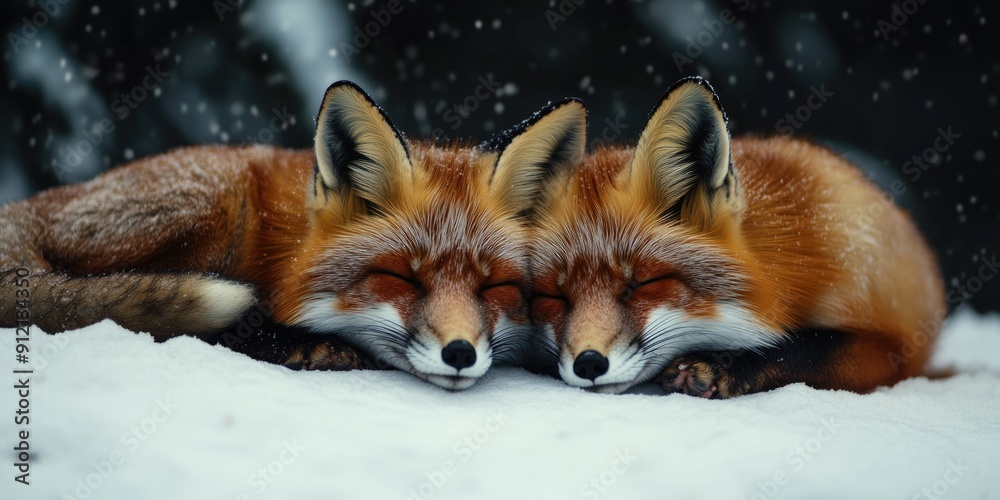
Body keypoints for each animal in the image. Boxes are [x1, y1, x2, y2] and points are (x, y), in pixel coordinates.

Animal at [529, 77, 945, 398]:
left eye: (645, 283)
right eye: (553, 296)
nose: (589, 363)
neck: (800, 249)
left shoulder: (893, 347)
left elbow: (809, 348)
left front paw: (723, 366)